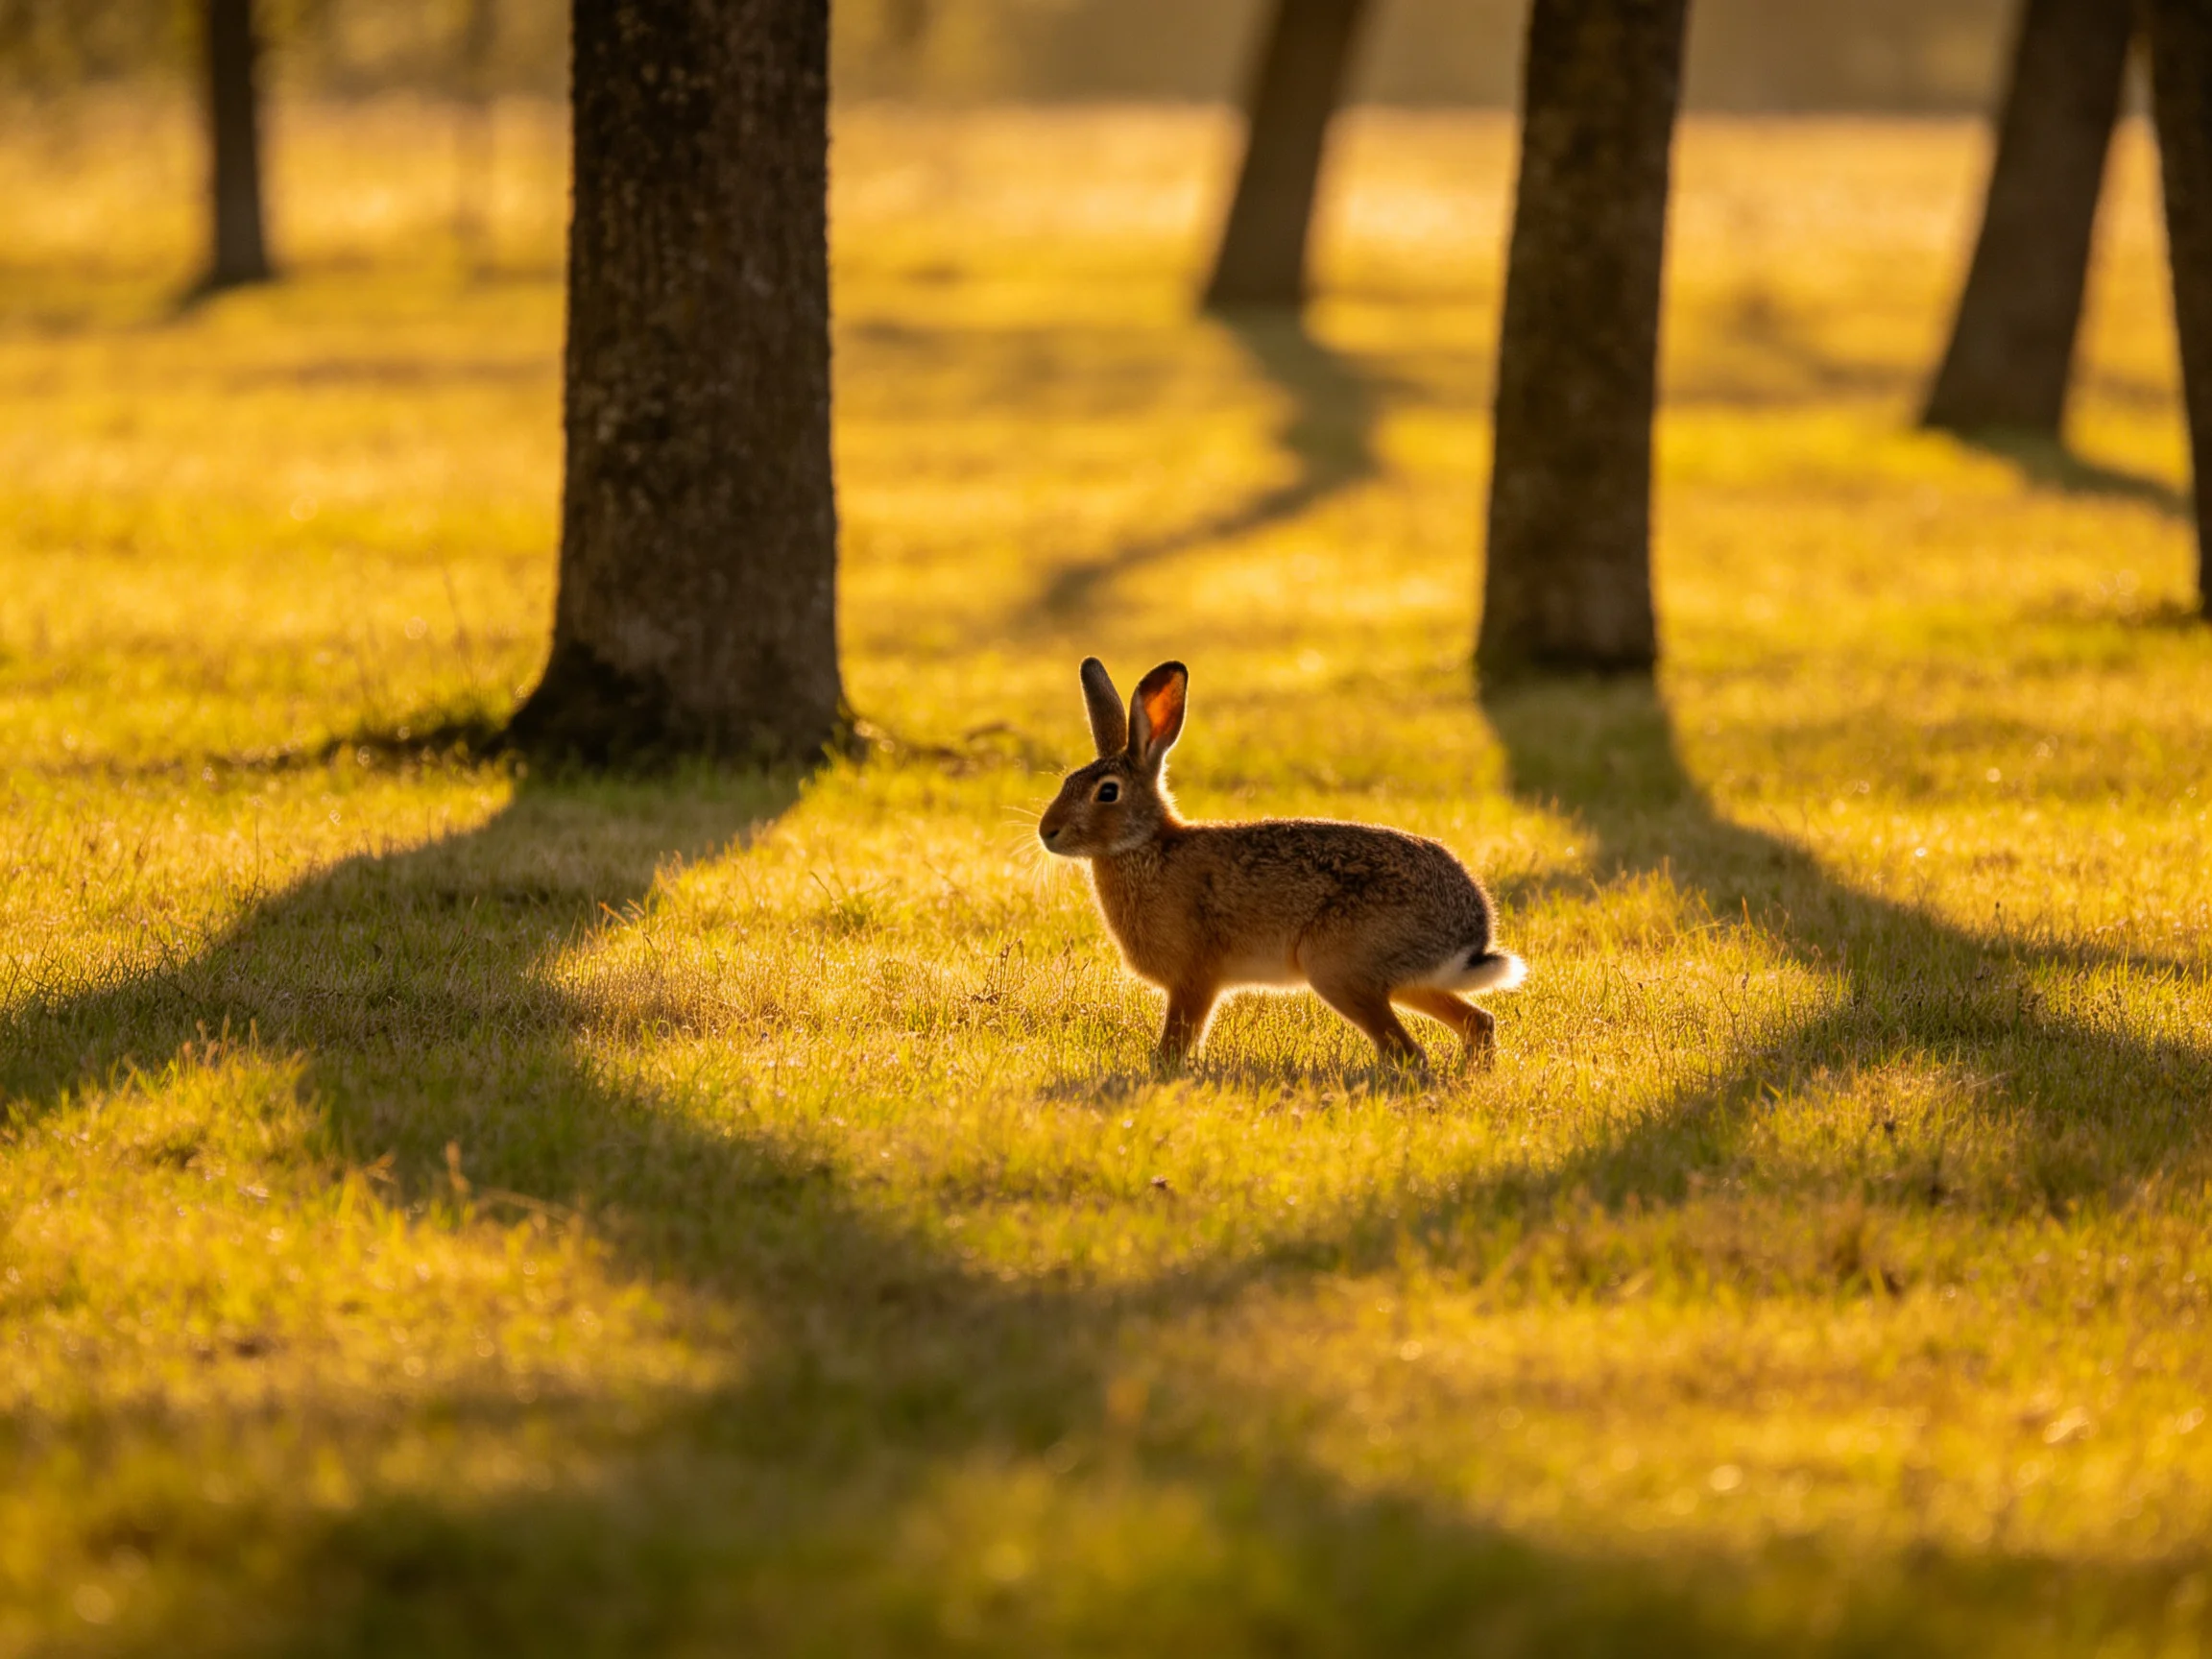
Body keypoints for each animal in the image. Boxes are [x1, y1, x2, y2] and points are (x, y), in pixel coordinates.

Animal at [1037, 657, 1525, 1070]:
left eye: (1107, 792)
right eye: (1066, 782)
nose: (1047, 832)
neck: (1146, 846)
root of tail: (1472, 931)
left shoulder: (1195, 979)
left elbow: (1179, 1039)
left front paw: (1163, 1069)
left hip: (1337, 968)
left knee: (1409, 1053)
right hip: (1403, 980)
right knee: (1478, 1022)